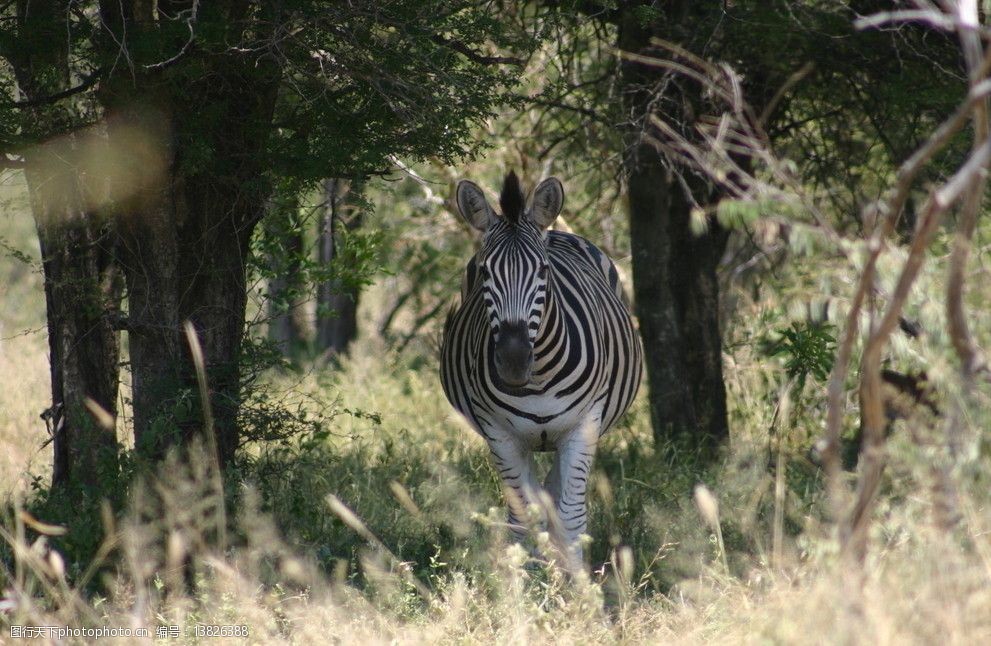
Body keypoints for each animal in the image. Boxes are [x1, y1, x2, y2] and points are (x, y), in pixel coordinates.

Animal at [442, 173, 644, 572]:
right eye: (485, 272)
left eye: (543, 271)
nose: (513, 360)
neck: (537, 379)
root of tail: (558, 232)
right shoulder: (499, 434)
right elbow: (523, 519)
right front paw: (524, 582)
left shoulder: (584, 425)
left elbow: (571, 516)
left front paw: (576, 583)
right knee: (535, 500)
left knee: (555, 496)